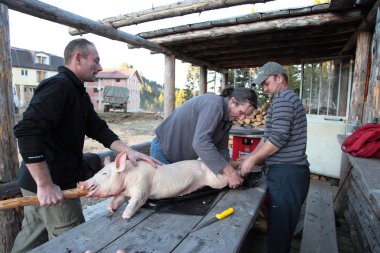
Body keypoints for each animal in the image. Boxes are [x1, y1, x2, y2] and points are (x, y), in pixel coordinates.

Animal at [77, 150, 226, 219]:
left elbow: (137, 201)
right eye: (96, 172)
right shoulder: (125, 192)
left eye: (104, 173)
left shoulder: (143, 187)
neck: (128, 176)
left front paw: (125, 216)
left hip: (215, 181)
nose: (80, 183)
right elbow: (118, 199)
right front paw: (109, 209)